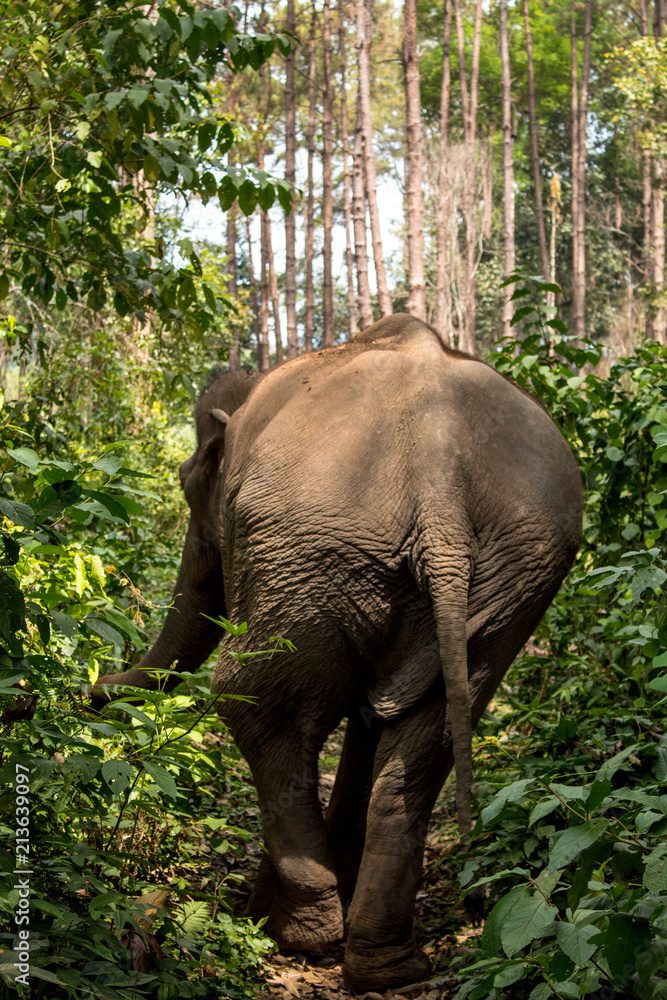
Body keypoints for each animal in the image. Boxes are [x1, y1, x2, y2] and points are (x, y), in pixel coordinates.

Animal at [94, 315, 583, 992]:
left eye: (191, 489)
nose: (91, 692)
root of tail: (440, 484)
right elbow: (373, 718)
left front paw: (262, 912)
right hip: (513, 576)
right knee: (427, 735)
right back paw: (387, 967)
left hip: (310, 546)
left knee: (254, 704)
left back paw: (305, 935)